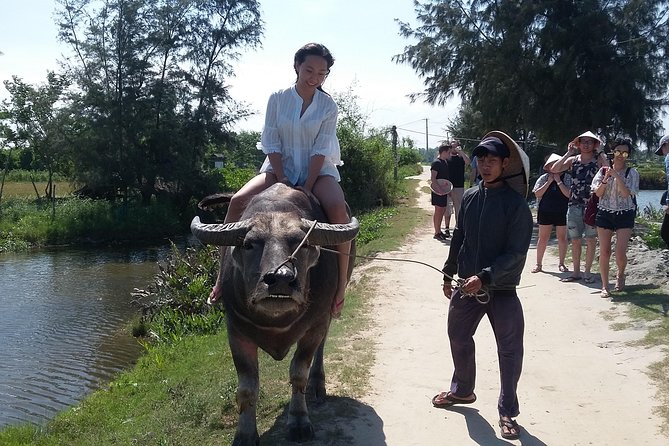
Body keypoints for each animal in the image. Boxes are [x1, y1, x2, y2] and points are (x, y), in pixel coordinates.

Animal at [191, 183, 359, 445]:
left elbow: (299, 372)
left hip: (329, 312)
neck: (277, 321)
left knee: (322, 345)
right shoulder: (236, 331)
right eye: (249, 244)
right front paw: (245, 434)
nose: (280, 279)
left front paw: (299, 421)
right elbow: (247, 388)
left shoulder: (315, 325)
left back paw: (317, 385)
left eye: (304, 243)